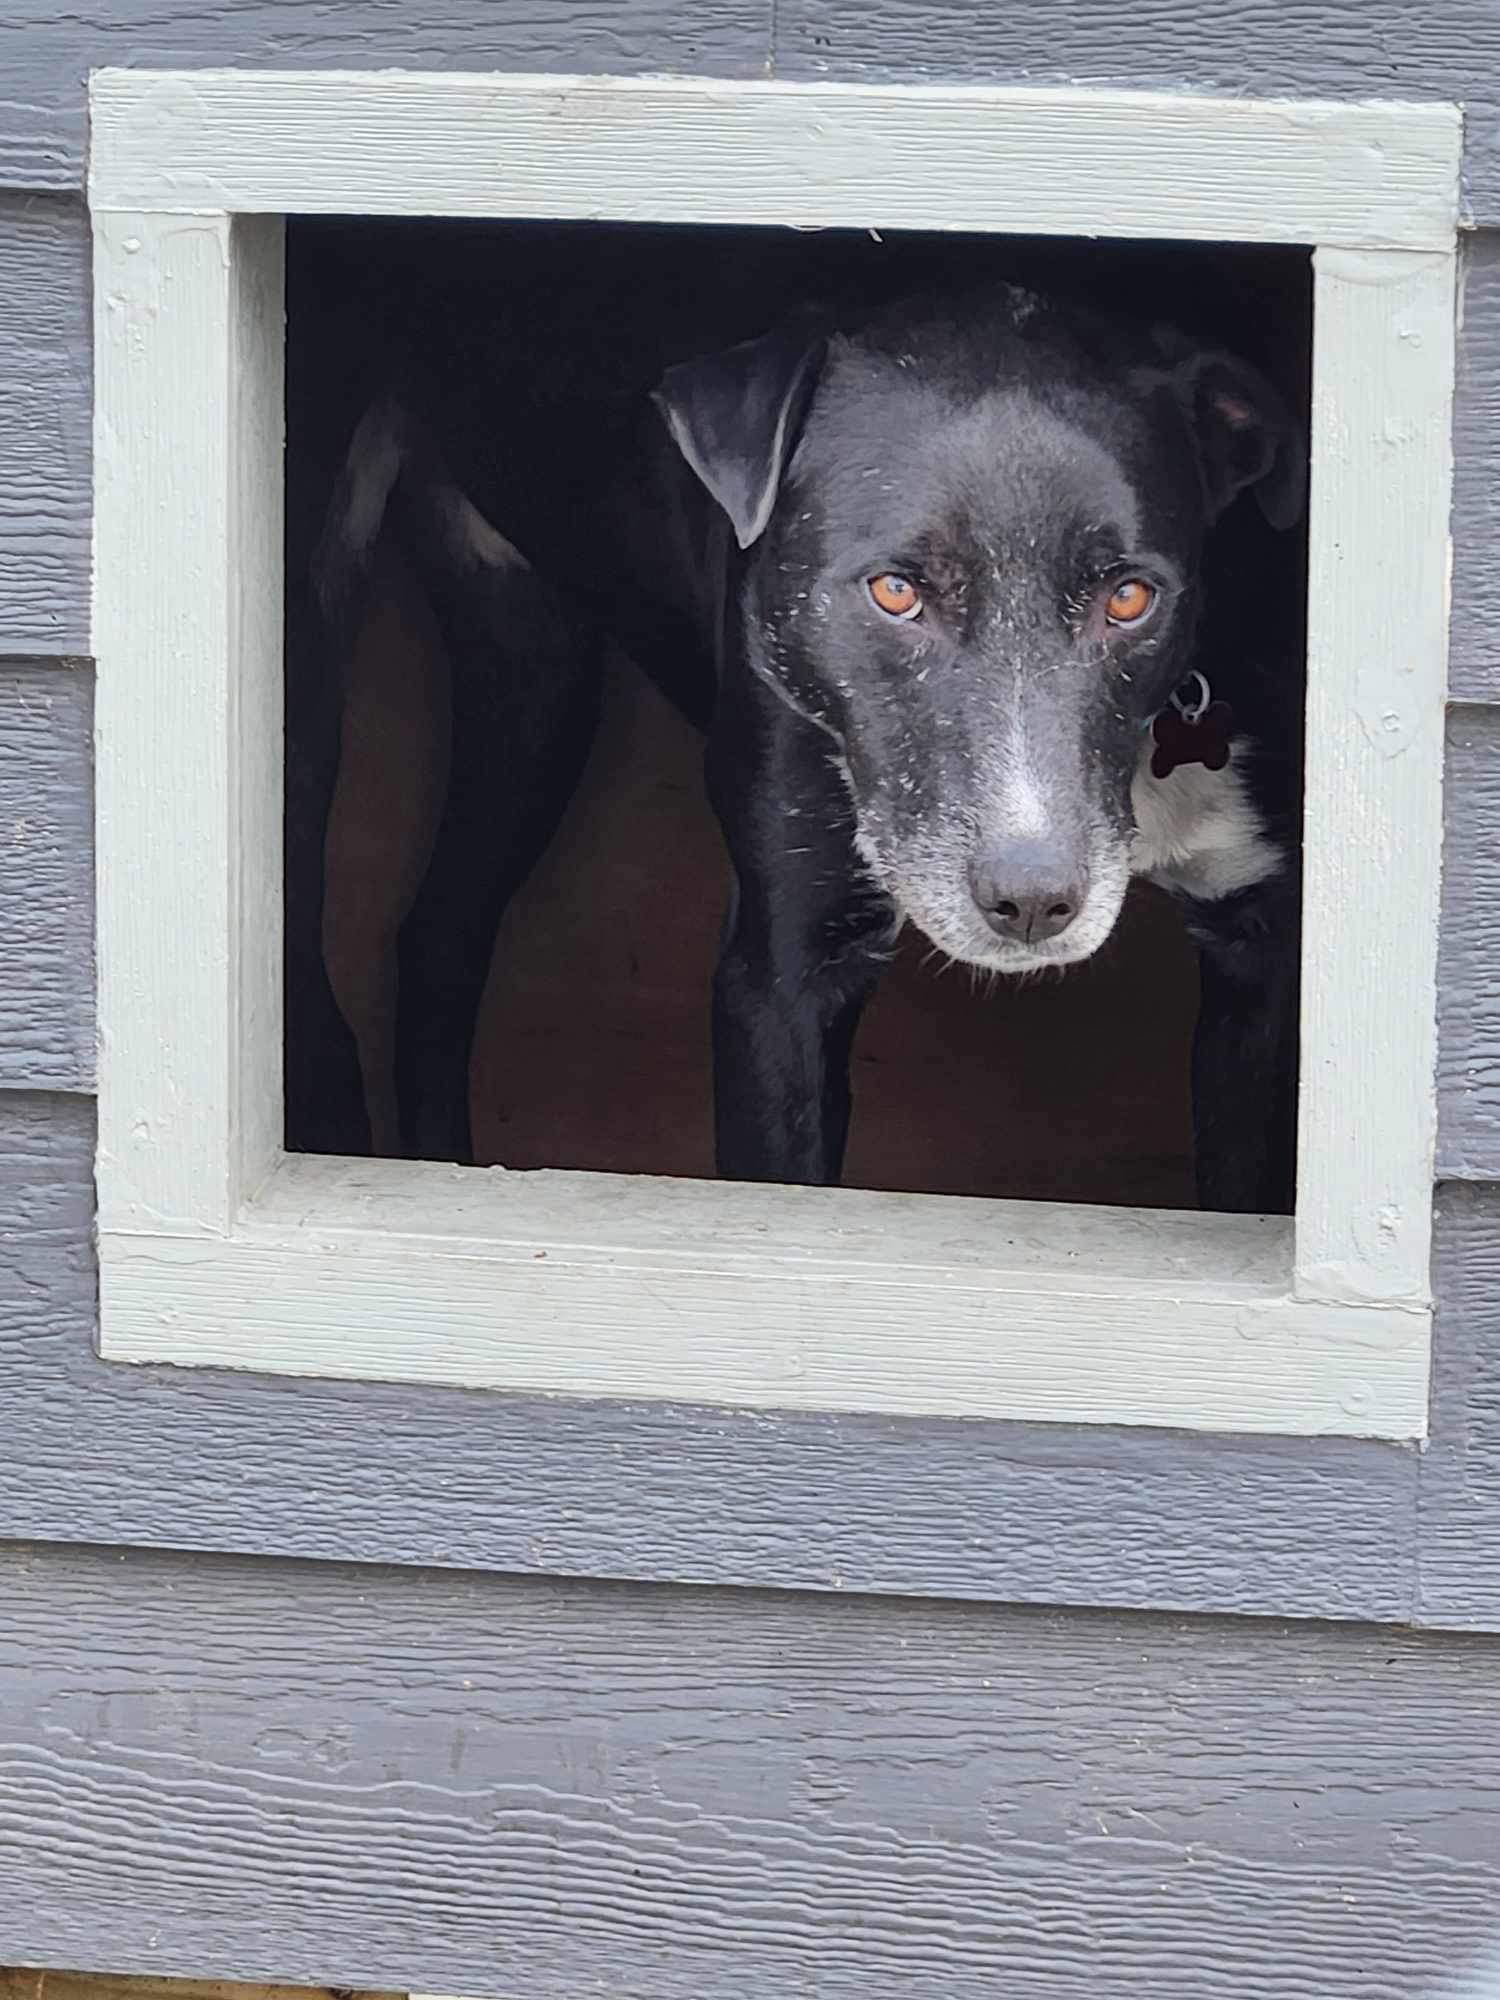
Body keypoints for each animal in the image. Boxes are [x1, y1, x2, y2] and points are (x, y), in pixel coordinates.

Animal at [296, 276, 1304, 1208]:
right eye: (895, 590)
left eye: (1129, 596)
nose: (1032, 902)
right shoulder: (782, 976)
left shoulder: (1263, 962)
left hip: (531, 665)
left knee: (438, 939)